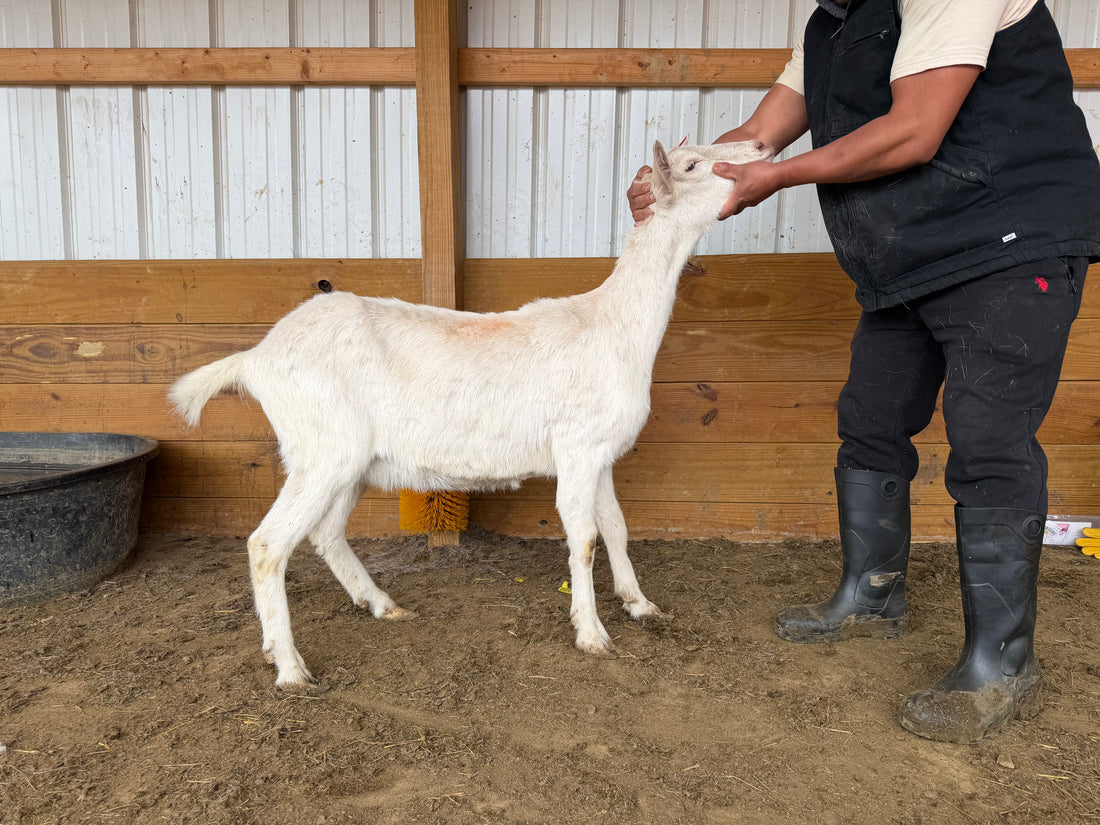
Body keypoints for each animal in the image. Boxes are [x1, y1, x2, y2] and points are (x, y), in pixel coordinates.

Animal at [169, 138, 773, 690]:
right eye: (693, 163)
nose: (763, 147)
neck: (612, 326)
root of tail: (256, 357)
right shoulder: (576, 448)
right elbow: (583, 538)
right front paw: (592, 634)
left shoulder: (599, 454)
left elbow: (617, 528)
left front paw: (640, 605)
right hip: (322, 449)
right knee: (267, 545)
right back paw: (291, 669)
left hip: (345, 462)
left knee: (326, 533)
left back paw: (376, 606)